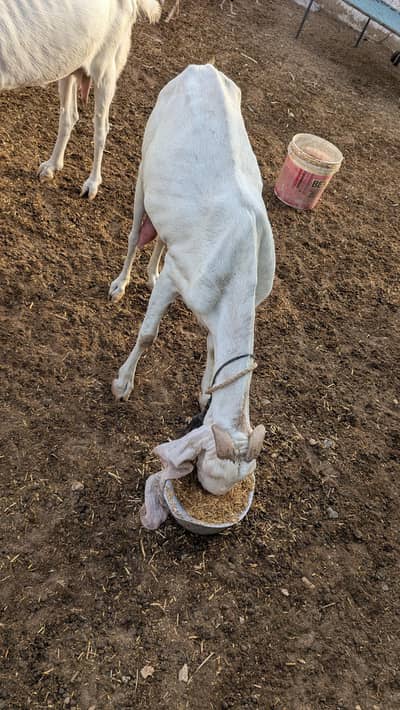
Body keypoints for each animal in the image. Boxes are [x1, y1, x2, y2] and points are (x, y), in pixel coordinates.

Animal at [0, 0, 162, 199]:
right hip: (69, 66)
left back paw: (92, 184)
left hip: (106, 68)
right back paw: (51, 166)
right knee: (69, 117)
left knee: (102, 127)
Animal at [109, 64, 275, 502]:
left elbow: (213, 346)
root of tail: (203, 68)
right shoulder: (177, 281)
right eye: (201, 472)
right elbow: (148, 334)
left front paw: (205, 390)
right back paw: (121, 283)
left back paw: (148, 272)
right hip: (144, 165)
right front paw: (122, 384)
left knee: (163, 237)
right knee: (135, 233)